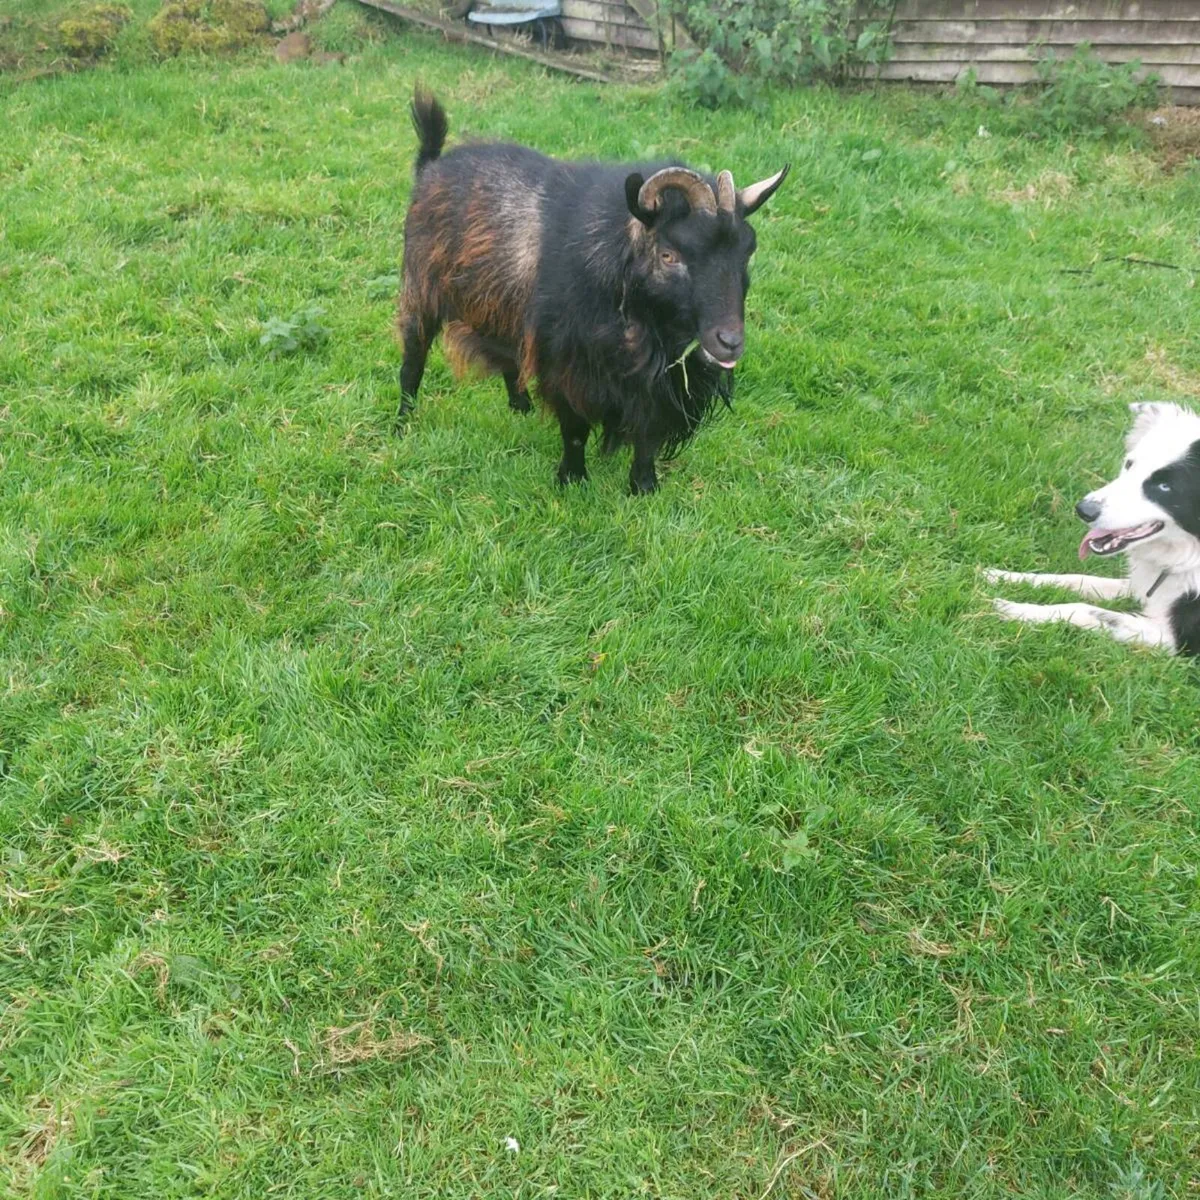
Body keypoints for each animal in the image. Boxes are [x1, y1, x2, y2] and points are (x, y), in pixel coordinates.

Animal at [396, 90, 788, 494]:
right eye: (669, 254)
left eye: (747, 251)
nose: (729, 341)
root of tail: (432, 166)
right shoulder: (567, 364)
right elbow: (575, 429)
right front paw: (572, 479)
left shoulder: (654, 384)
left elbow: (648, 433)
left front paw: (644, 487)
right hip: (420, 288)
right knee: (413, 360)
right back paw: (402, 423)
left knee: (508, 358)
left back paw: (521, 407)